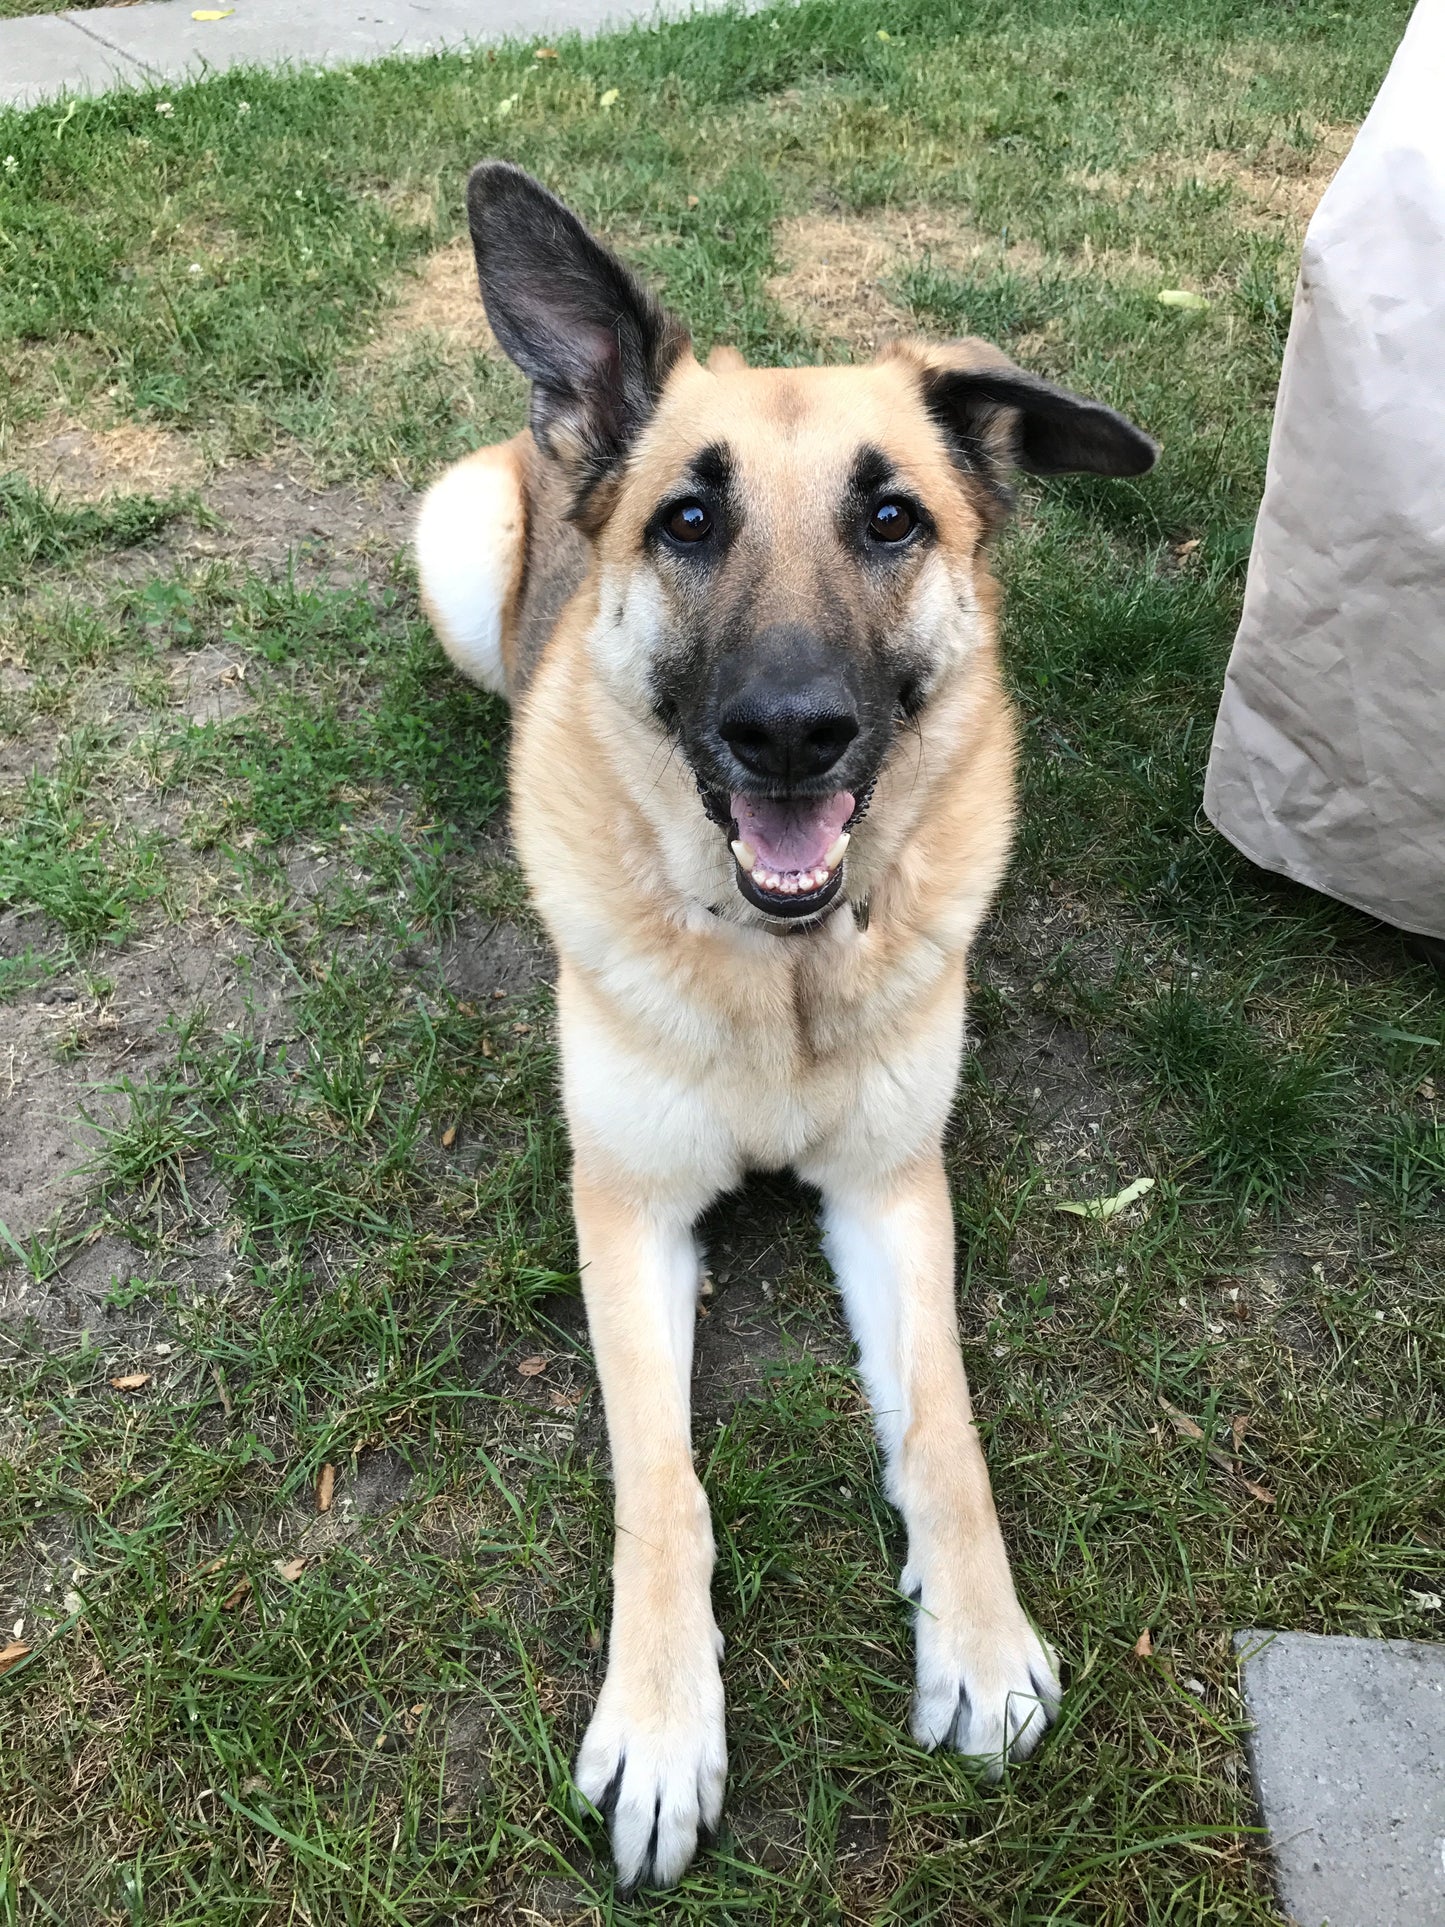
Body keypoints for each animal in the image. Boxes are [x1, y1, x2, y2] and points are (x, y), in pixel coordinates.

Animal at [412, 161, 1163, 1880]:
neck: (779, 972)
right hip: (454, 545)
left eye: (892, 517)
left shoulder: (892, 1188)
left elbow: (944, 1425)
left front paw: (980, 1639)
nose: (791, 732)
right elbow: (661, 1478)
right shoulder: (623, 1208)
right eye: (689, 519)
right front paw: (662, 1721)